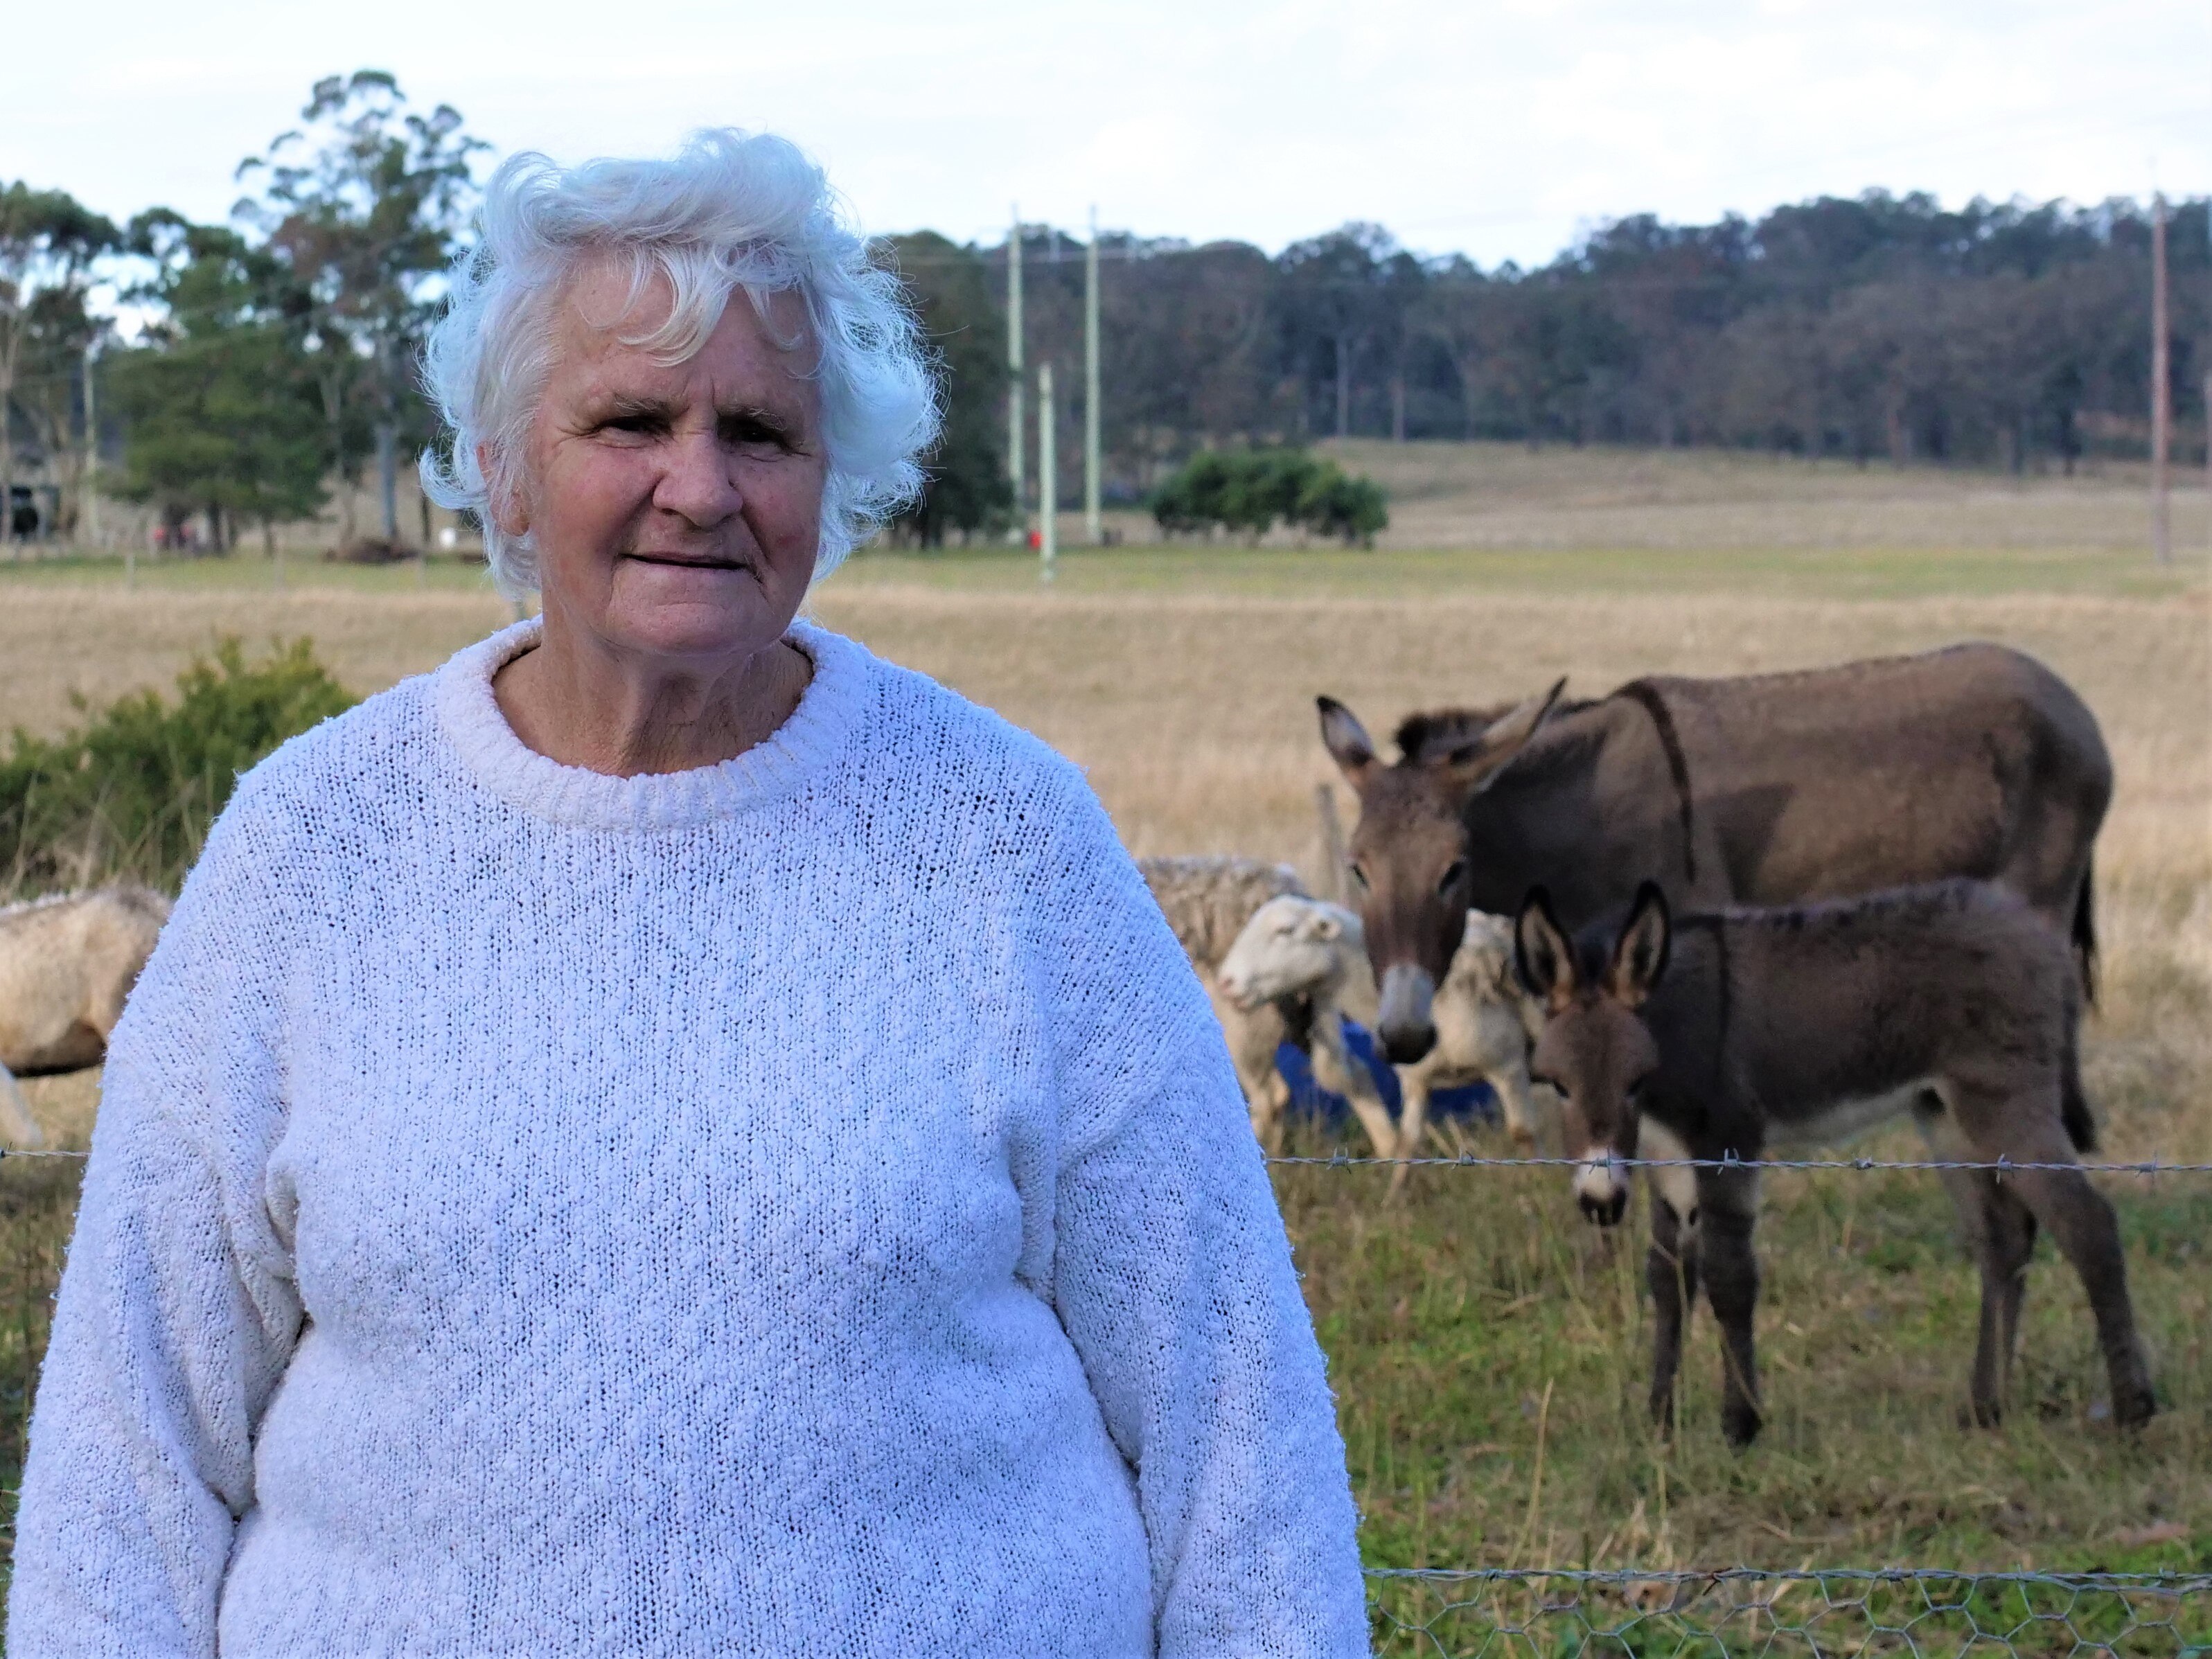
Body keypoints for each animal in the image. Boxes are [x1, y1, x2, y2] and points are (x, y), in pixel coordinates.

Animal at [1220, 895, 1553, 1189]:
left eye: (1285, 931)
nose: (1226, 981)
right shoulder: (1416, 1080)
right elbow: (1408, 1142)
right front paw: (1395, 1199)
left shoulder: (1507, 1064)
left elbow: (1523, 1132)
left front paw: (1540, 1184)